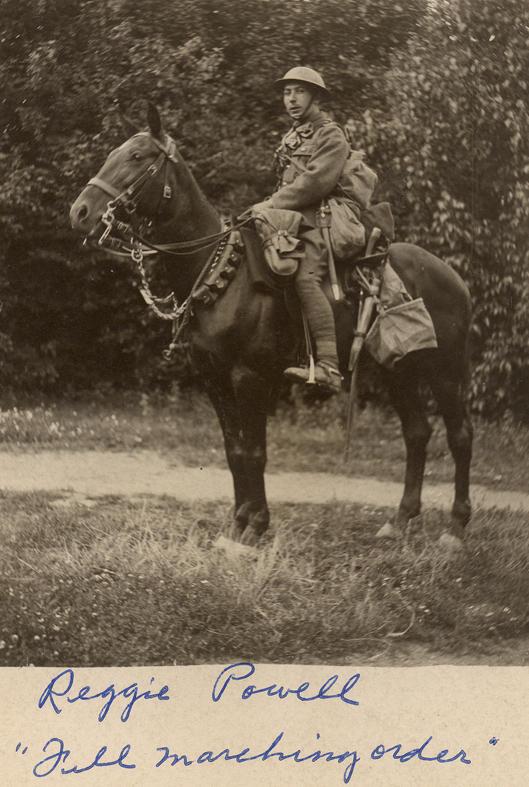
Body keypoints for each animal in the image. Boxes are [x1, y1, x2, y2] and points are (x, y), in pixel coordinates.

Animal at [69, 107, 470, 556]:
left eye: (137, 156)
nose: (80, 211)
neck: (221, 271)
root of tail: (454, 277)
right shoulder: (215, 379)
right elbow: (234, 451)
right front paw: (237, 524)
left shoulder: (251, 378)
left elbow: (255, 451)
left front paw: (254, 528)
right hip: (397, 370)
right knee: (417, 433)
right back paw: (399, 521)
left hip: (445, 371)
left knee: (460, 436)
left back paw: (456, 528)